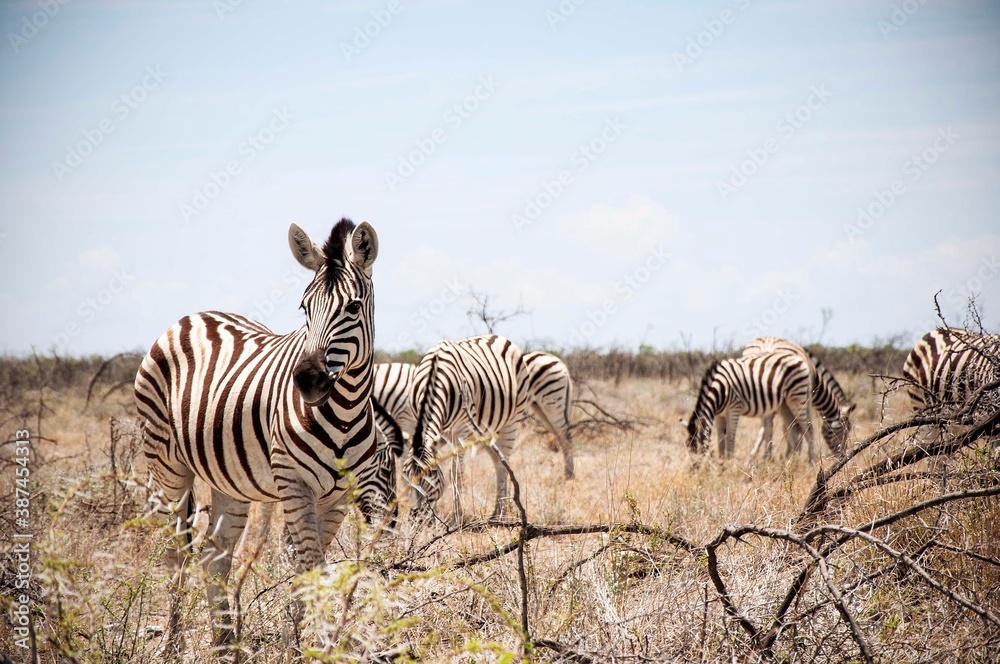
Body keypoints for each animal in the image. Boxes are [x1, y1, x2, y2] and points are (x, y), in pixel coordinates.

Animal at [134, 218, 380, 655]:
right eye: (304, 308)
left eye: (352, 307)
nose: (307, 380)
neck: (345, 410)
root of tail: (193, 316)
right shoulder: (294, 483)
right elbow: (313, 565)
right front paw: (320, 645)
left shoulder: (342, 493)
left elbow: (308, 566)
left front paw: (300, 643)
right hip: (166, 465)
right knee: (176, 554)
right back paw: (174, 644)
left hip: (228, 479)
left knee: (213, 556)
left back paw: (224, 643)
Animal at [407, 335, 528, 522]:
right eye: (407, 477)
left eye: (431, 475)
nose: (417, 518)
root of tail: (497, 337)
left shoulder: (461, 431)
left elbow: (456, 474)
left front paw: (458, 517)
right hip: (486, 431)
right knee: (497, 460)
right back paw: (497, 512)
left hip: (511, 423)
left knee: (503, 463)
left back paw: (501, 513)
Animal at [685, 352, 816, 461]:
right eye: (689, 448)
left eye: (699, 449)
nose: (696, 468)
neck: (719, 388)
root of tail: (801, 360)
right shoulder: (719, 415)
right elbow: (720, 438)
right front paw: (721, 461)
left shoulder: (734, 408)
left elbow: (730, 436)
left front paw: (729, 462)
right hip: (785, 405)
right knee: (794, 430)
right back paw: (791, 462)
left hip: (797, 398)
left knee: (808, 429)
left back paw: (811, 462)